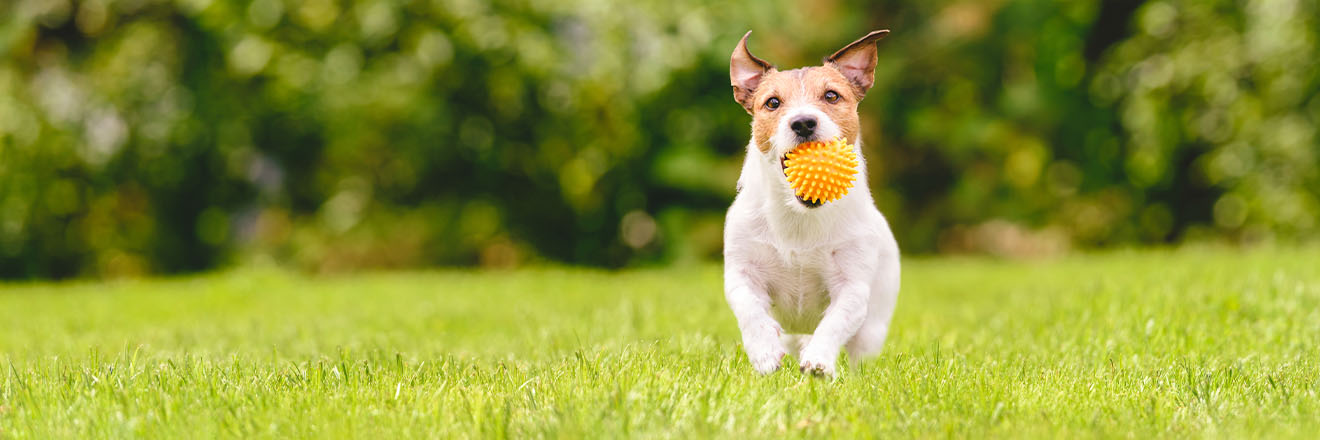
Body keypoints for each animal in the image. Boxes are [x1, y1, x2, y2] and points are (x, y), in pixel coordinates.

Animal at [723, 29, 897, 375]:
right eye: (772, 102)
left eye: (831, 96)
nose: (803, 122)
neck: (800, 217)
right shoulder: (741, 272)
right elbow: (749, 310)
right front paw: (764, 351)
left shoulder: (852, 286)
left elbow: (835, 321)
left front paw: (818, 360)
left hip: (873, 327)